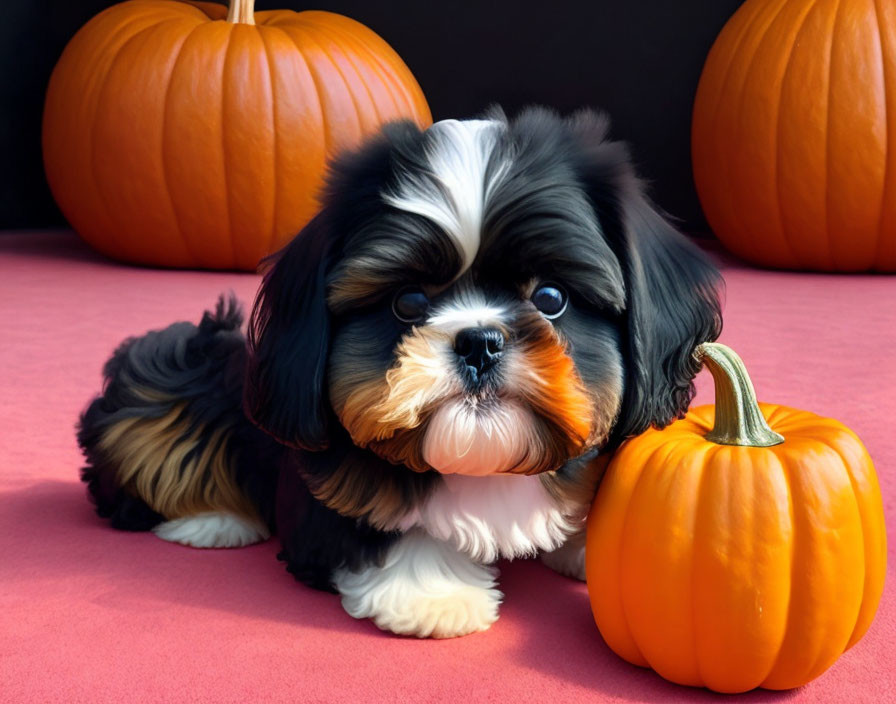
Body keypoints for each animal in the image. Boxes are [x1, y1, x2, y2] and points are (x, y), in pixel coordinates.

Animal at [75, 106, 720, 640]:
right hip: (170, 386)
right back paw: (211, 520)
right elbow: (383, 518)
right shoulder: (328, 491)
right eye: (407, 302)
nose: (479, 341)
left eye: (552, 297)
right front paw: (432, 595)